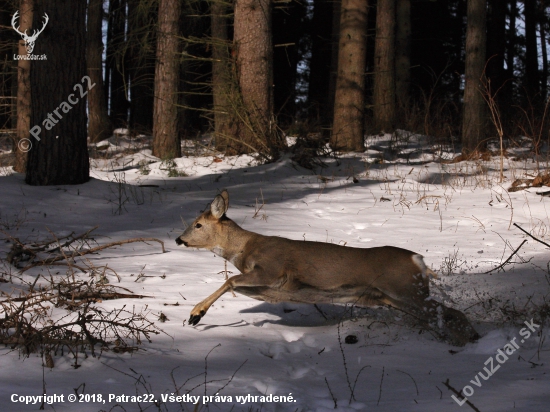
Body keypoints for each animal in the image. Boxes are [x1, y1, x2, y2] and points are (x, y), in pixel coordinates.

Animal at [177, 192, 478, 346]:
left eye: (198, 224)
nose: (179, 239)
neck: (244, 249)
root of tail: (419, 260)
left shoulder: (273, 270)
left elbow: (229, 281)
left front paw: (195, 314)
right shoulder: (271, 290)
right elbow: (237, 286)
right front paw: (197, 314)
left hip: (405, 289)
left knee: (451, 312)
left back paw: (467, 340)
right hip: (392, 298)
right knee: (440, 315)